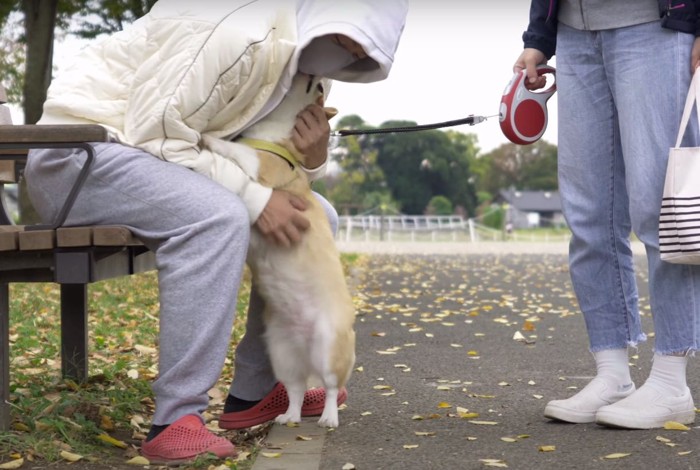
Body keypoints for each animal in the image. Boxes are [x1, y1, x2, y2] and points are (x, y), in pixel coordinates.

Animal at [204, 72, 356, 426]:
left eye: (317, 88)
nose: (315, 75)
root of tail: (305, 346)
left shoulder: (260, 164)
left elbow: (236, 150)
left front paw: (211, 139)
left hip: (329, 348)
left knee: (331, 387)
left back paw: (328, 417)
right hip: (283, 354)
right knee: (297, 388)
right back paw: (289, 415)